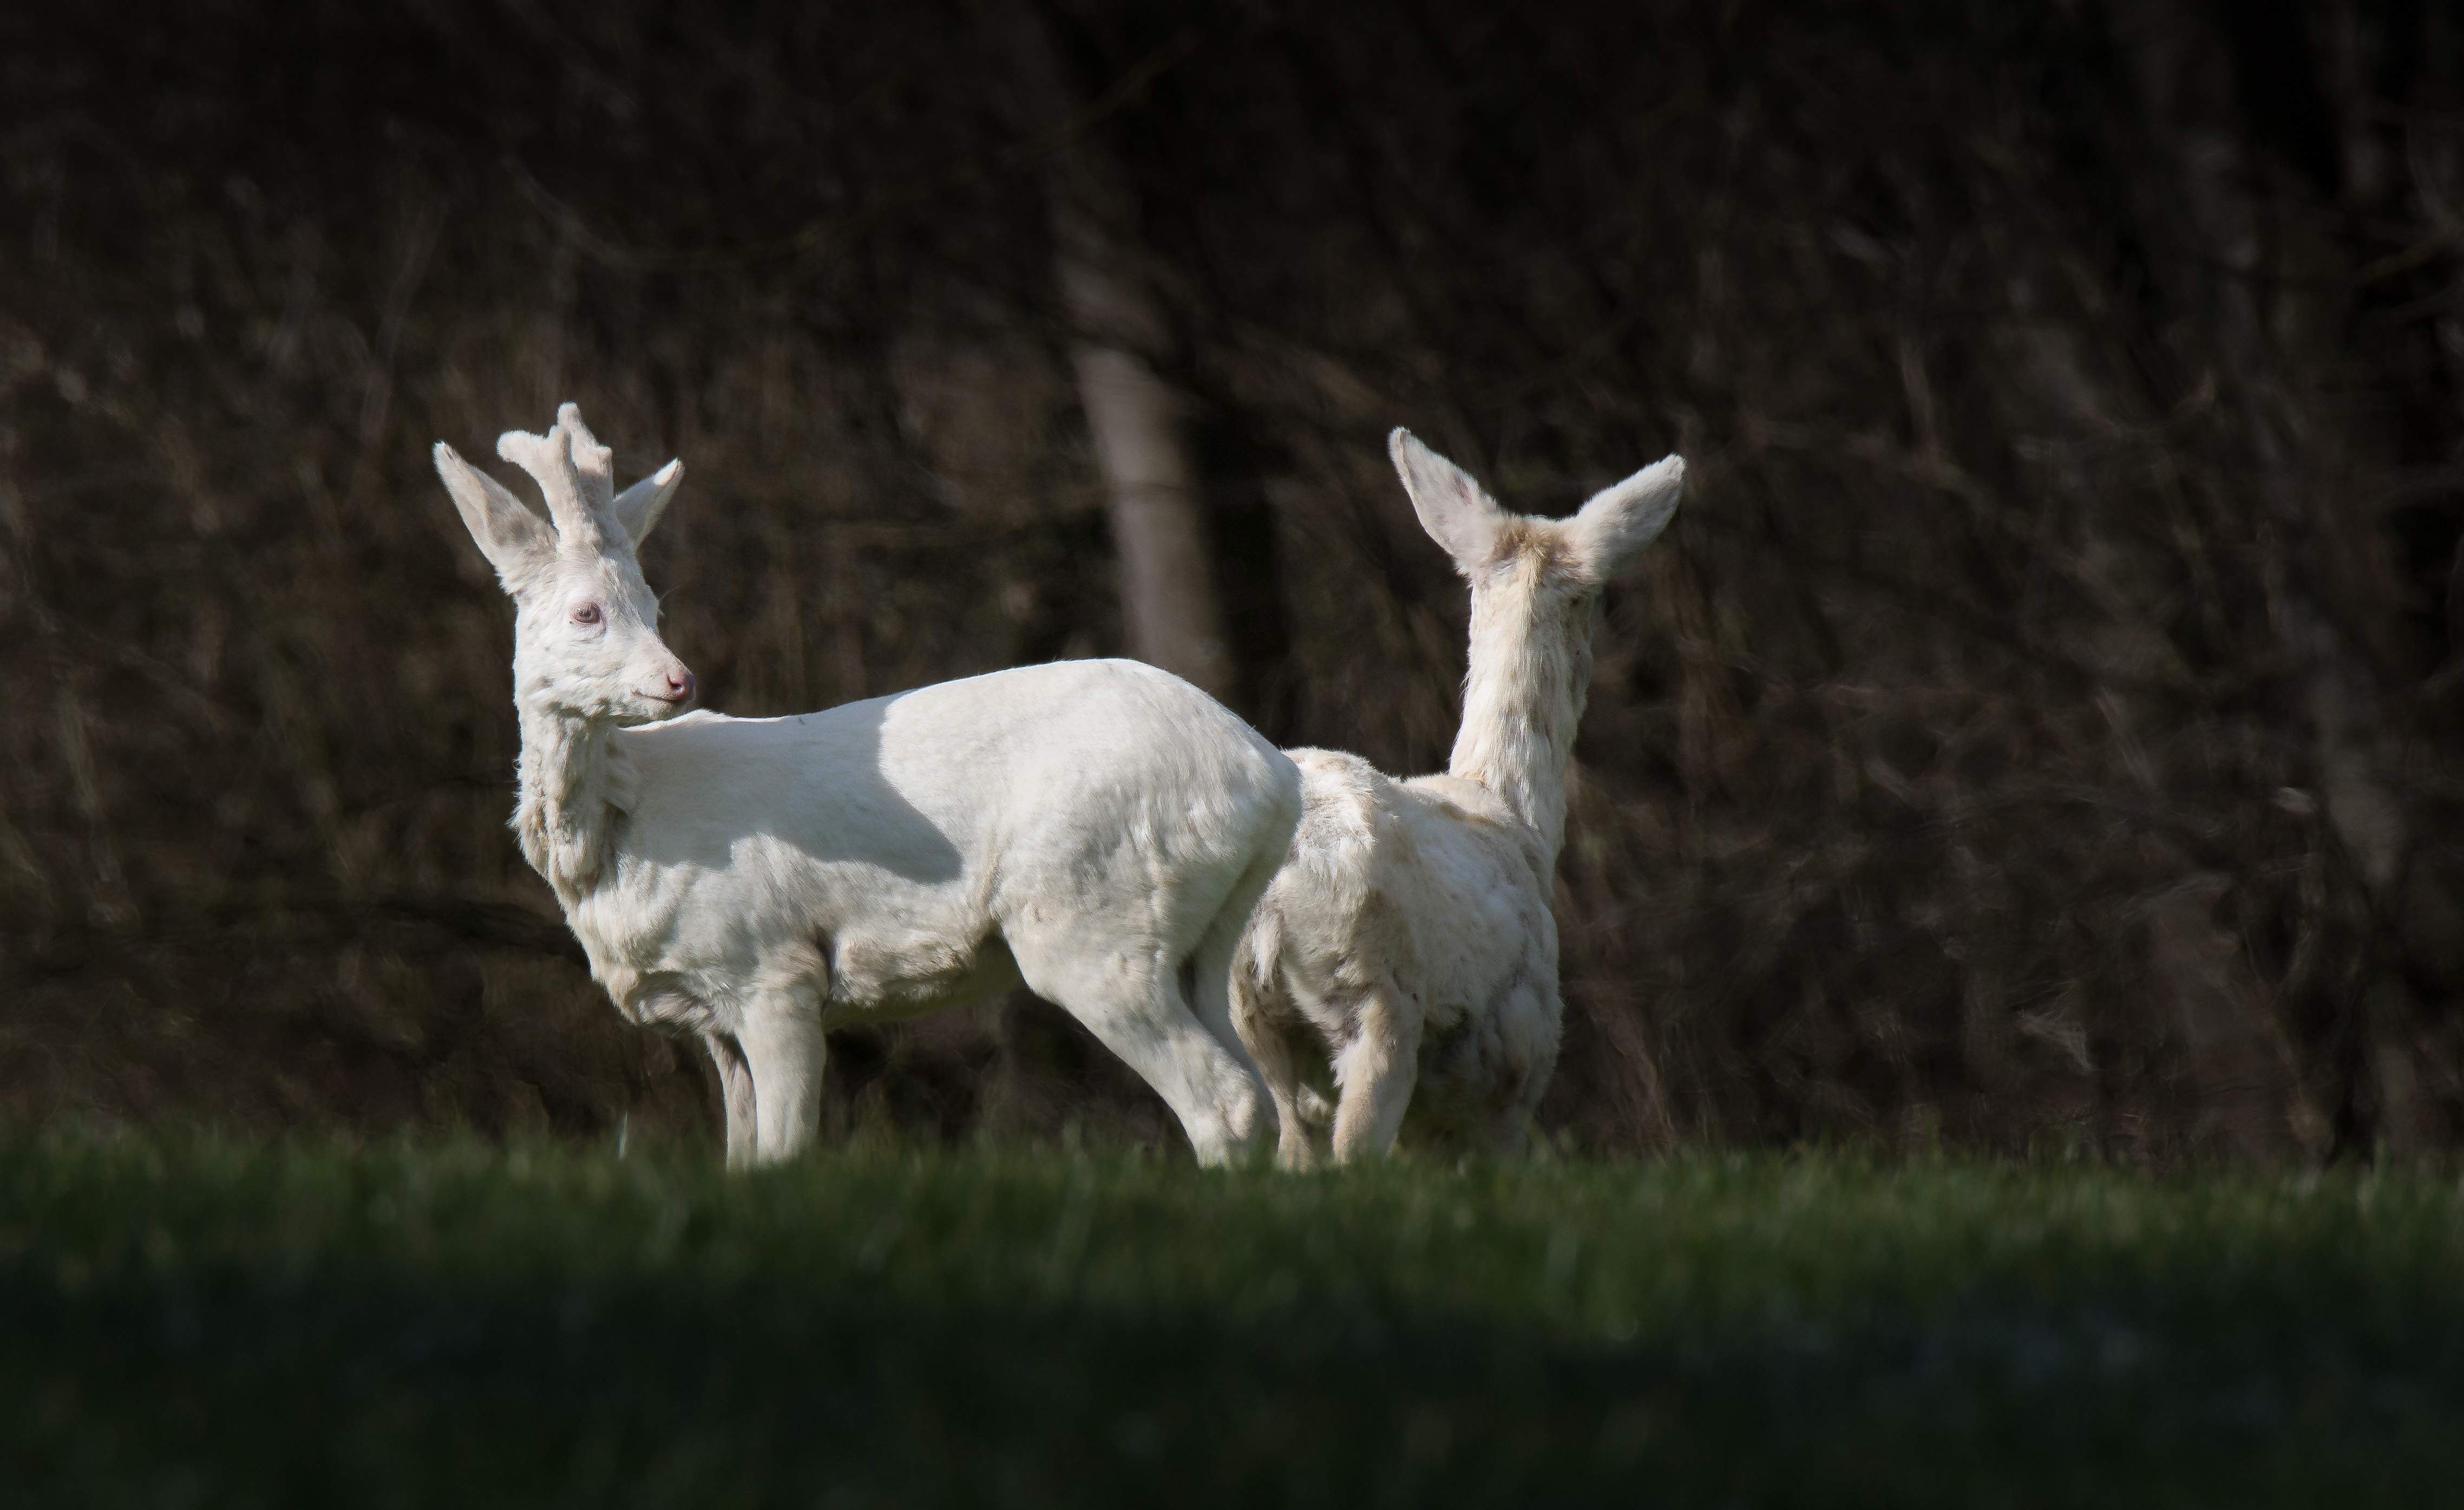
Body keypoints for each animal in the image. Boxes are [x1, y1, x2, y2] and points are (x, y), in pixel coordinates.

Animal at [434, 404, 1301, 1167]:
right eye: (588, 612)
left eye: (651, 603)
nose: (678, 679)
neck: (625, 823)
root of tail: (1272, 774)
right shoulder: (711, 1011)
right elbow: (738, 1157)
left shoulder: (771, 967)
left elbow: (783, 1150)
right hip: (1209, 936)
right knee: (1268, 1095)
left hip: (1094, 916)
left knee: (1224, 1099)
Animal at [1227, 431, 1685, 1158]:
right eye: (1596, 600)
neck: (1515, 818)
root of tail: (1269, 906)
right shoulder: (1513, 1078)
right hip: (1374, 1004)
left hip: (1247, 1020)